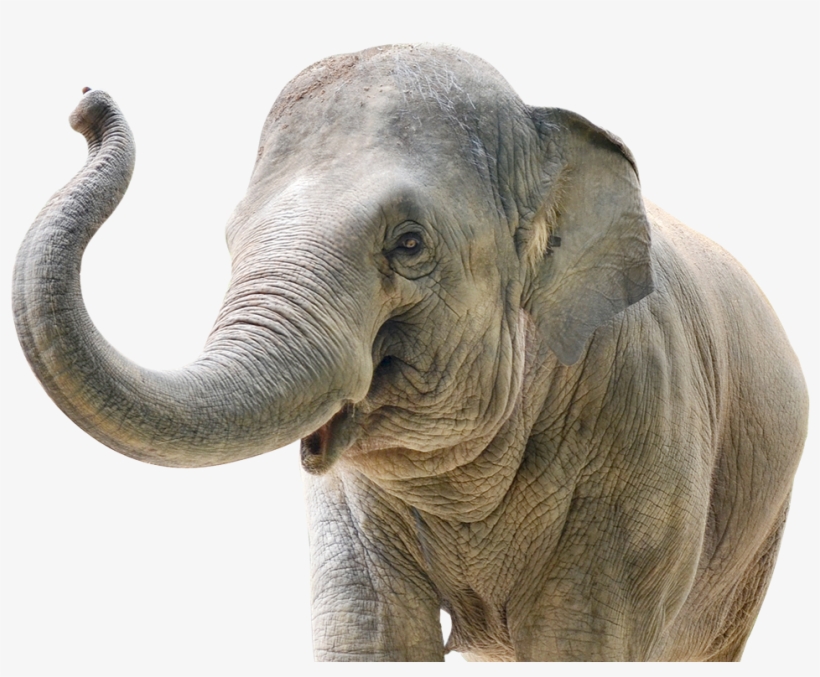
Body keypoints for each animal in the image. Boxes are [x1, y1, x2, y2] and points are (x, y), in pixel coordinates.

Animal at [13, 44, 808, 662]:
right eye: (232, 236)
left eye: (410, 244)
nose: (85, 102)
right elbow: (372, 633)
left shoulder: (644, 443)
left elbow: (581, 639)